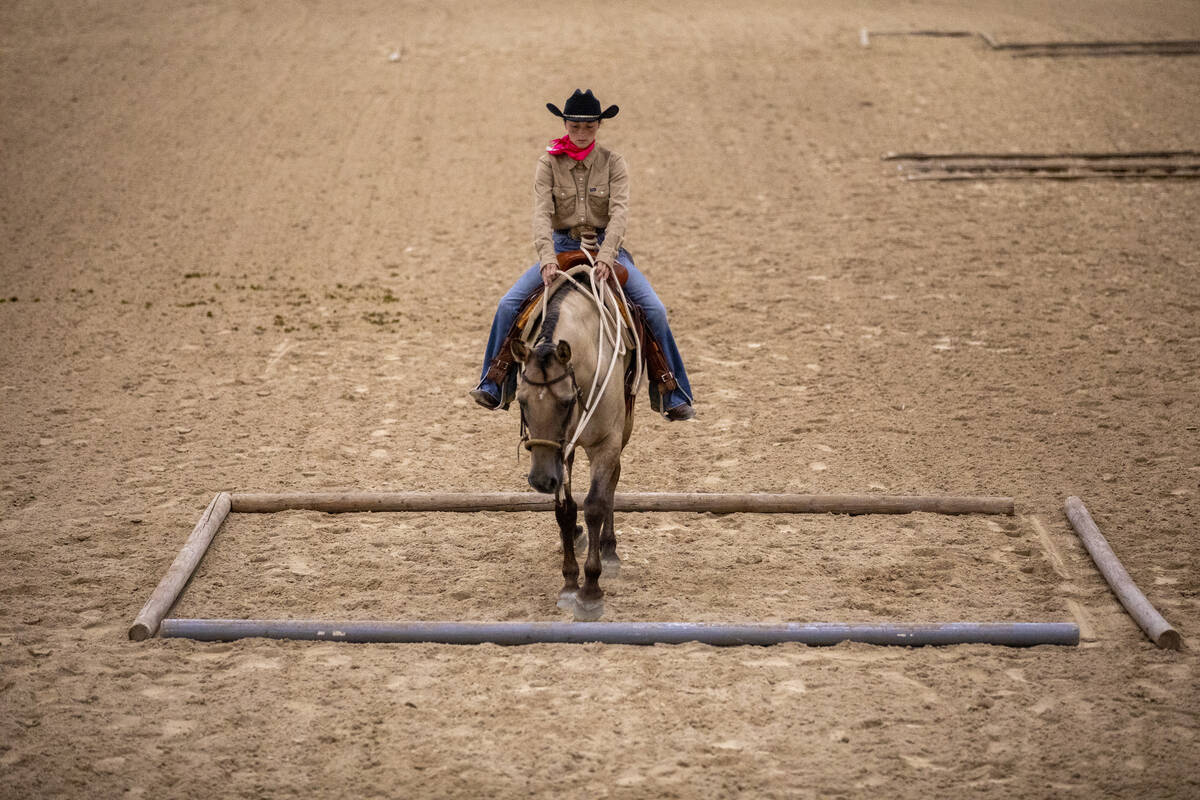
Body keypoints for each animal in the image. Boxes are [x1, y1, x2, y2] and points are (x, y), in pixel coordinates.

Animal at [508, 266, 638, 623]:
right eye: (522, 400)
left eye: (566, 402)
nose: (540, 480)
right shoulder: (558, 454)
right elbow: (564, 511)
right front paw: (569, 584)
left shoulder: (606, 444)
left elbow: (594, 505)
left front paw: (590, 591)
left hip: (623, 429)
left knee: (612, 483)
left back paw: (609, 550)